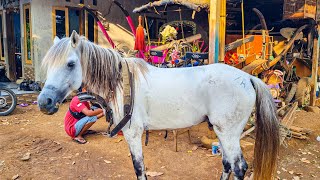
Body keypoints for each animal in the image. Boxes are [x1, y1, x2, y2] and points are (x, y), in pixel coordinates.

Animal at [37, 31, 278, 180]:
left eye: (70, 64)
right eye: (48, 64)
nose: (43, 102)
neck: (121, 84)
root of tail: (248, 78)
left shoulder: (133, 134)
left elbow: (139, 168)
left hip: (228, 133)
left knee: (239, 167)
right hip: (222, 132)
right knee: (227, 164)